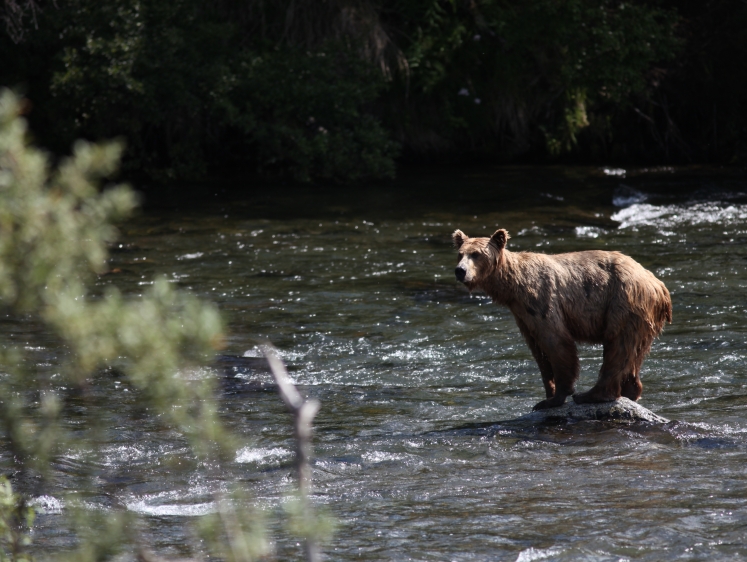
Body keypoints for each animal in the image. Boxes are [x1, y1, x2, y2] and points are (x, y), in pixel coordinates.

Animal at [452, 226, 676, 406]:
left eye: (476, 254)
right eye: (460, 254)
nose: (460, 271)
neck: (513, 289)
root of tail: (660, 286)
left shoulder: (541, 300)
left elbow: (556, 342)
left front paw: (555, 397)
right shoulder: (522, 315)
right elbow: (538, 352)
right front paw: (548, 394)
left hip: (623, 303)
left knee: (617, 346)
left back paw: (591, 395)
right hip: (641, 318)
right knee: (633, 354)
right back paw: (630, 391)